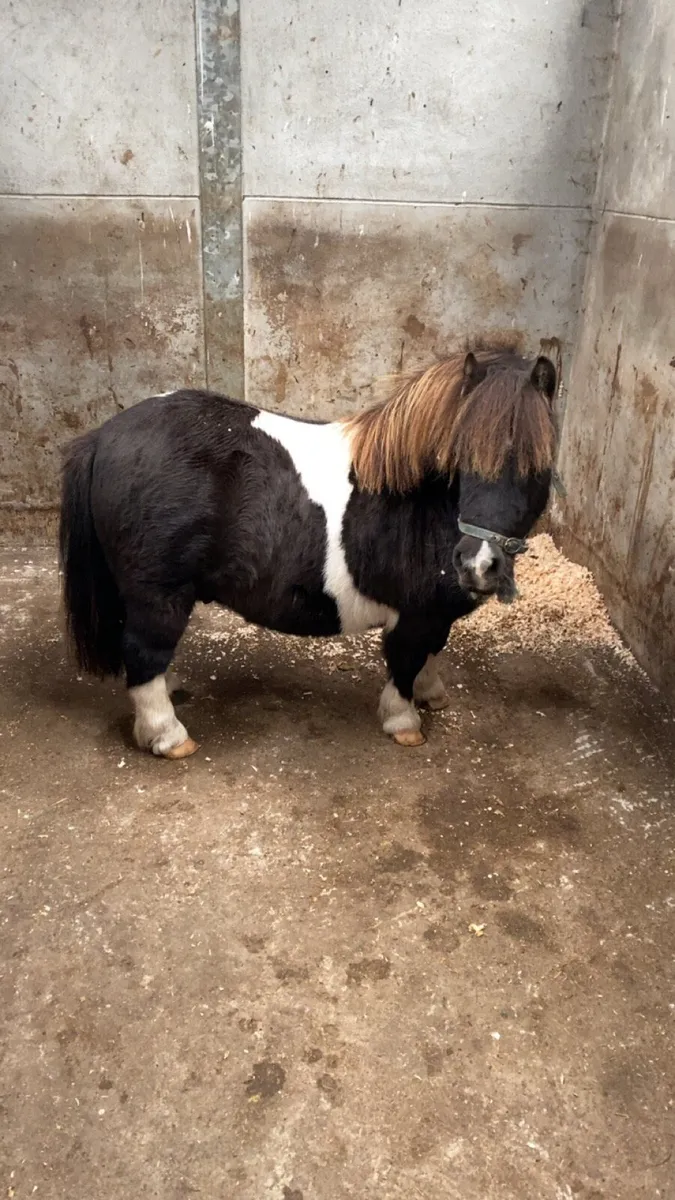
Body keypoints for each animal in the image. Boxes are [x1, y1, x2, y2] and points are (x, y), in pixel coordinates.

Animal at [59, 347, 557, 758]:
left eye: (537, 466)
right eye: (462, 459)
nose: (478, 565)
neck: (422, 500)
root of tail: (104, 436)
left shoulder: (436, 613)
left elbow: (433, 653)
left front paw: (431, 693)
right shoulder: (414, 615)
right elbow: (405, 662)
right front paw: (403, 720)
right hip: (159, 595)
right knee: (143, 651)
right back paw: (167, 735)